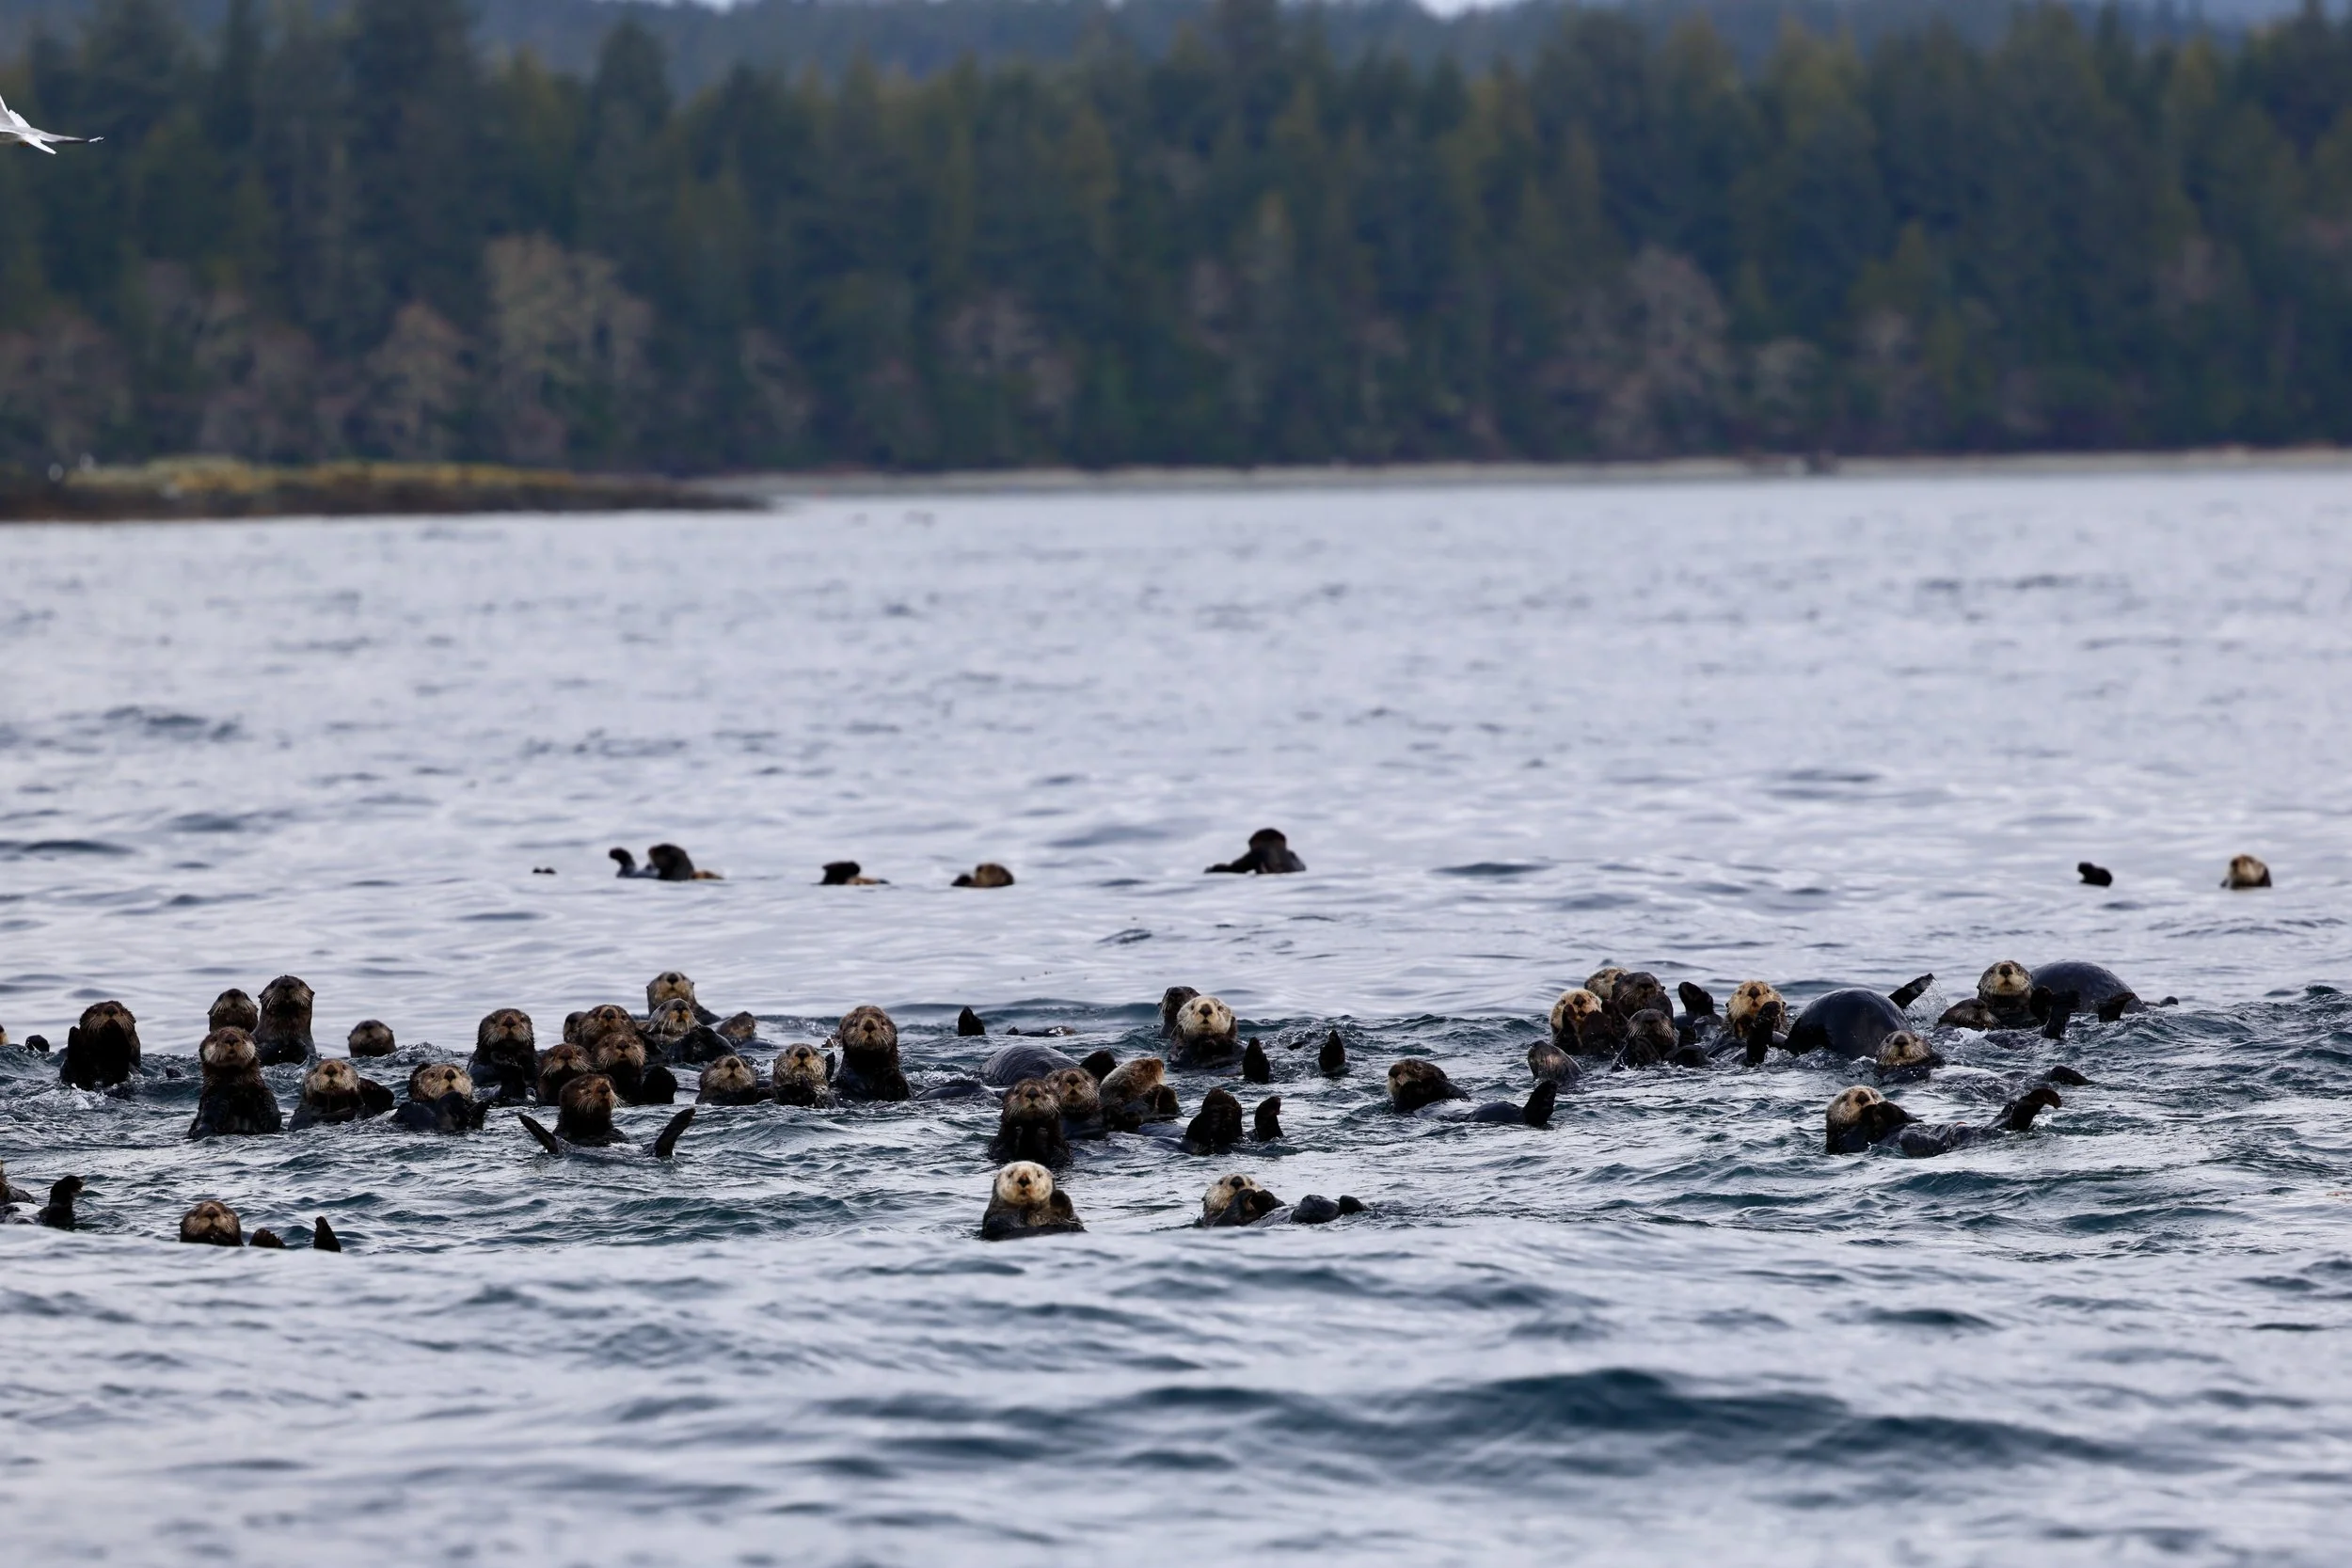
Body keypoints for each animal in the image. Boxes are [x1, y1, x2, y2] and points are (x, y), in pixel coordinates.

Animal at [1824, 1082, 2062, 1157]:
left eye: (1873, 1092)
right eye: (1844, 1098)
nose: (1864, 1098)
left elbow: (1910, 1119)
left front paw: (1881, 1107)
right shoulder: (1843, 1141)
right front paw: (1875, 1113)